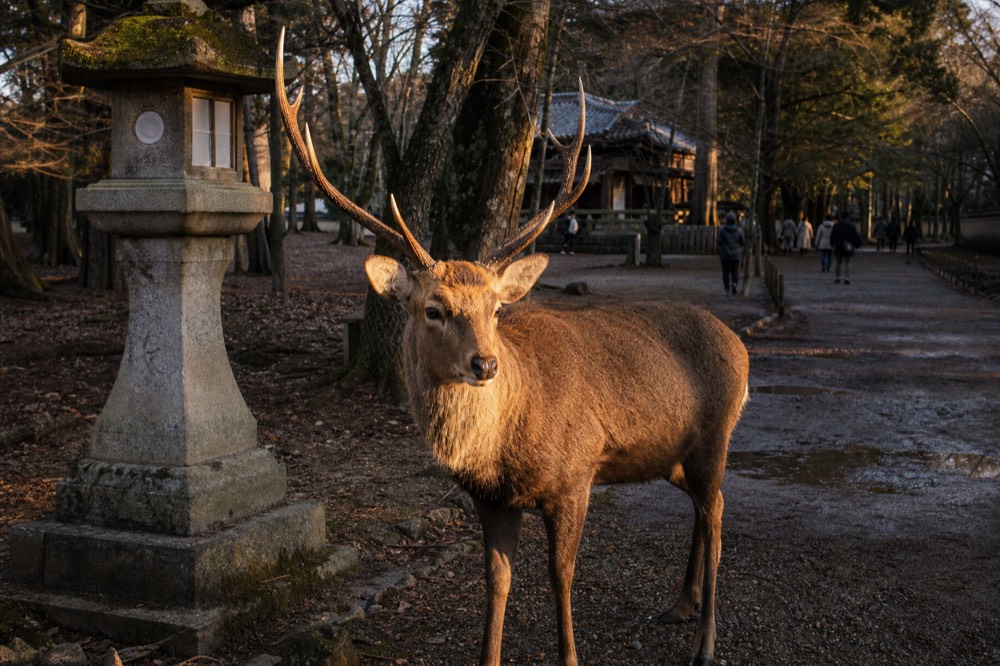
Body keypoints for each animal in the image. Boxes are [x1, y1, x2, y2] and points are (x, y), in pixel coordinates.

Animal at [277, 29, 748, 666]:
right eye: (434, 309)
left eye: (497, 309)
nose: (486, 363)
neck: (501, 449)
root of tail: (740, 346)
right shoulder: (491, 500)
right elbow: (496, 582)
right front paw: (489, 654)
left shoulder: (575, 475)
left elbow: (560, 576)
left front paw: (570, 656)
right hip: (671, 452)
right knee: (701, 509)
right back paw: (680, 605)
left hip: (715, 435)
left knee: (718, 512)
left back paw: (705, 641)